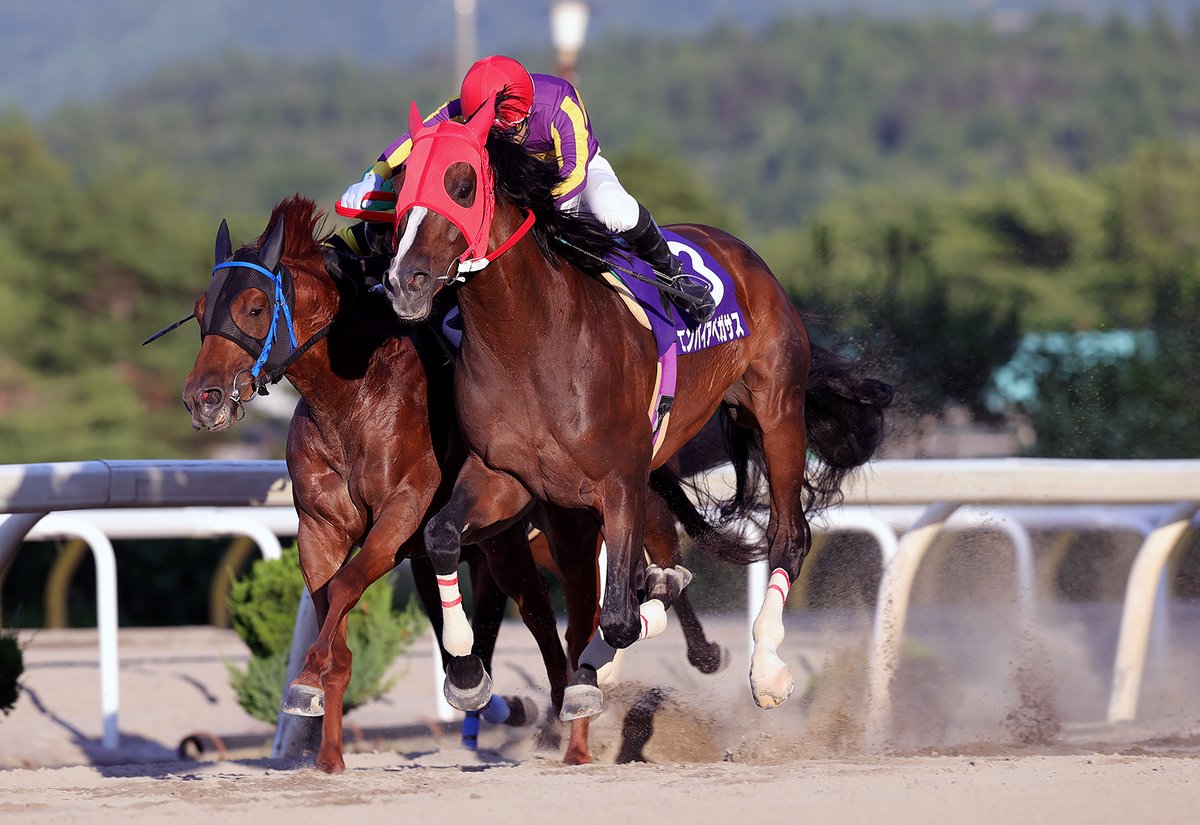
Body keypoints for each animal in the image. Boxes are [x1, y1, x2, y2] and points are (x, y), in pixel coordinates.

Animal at [176, 196, 731, 768]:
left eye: (255, 306)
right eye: (200, 309)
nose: (202, 397)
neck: (352, 398)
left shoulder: (403, 515)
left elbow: (350, 585)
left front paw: (306, 682)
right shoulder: (321, 529)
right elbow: (338, 614)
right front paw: (328, 751)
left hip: (572, 525)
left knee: (590, 610)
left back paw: (592, 722)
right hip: (507, 540)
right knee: (539, 612)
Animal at [379, 99, 895, 716]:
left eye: (462, 185)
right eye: (402, 185)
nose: (403, 281)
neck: (527, 341)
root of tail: (743, 255)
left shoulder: (619, 480)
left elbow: (622, 619)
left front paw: (592, 669)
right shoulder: (505, 475)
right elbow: (439, 536)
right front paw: (465, 673)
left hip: (778, 412)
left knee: (789, 538)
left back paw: (768, 669)